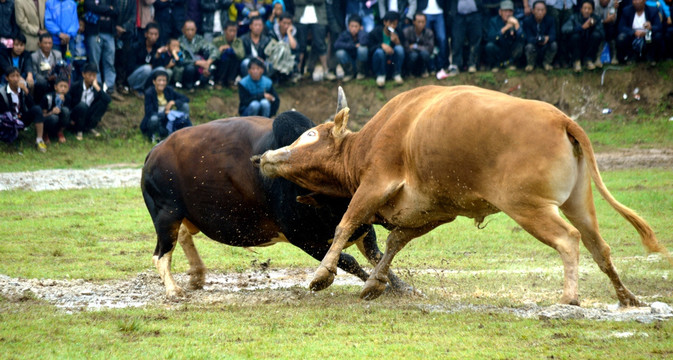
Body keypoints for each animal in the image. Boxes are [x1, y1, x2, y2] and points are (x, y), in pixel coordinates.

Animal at [256, 85, 668, 306]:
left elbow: (344, 227)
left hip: (528, 207)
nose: (265, 157)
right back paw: (627, 297)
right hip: (578, 203)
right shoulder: (433, 212)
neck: (368, 142)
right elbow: (394, 242)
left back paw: (569, 297)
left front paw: (322, 275)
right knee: (600, 247)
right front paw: (376, 282)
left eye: (310, 135)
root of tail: (563, 120)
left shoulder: (374, 184)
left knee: (569, 239)